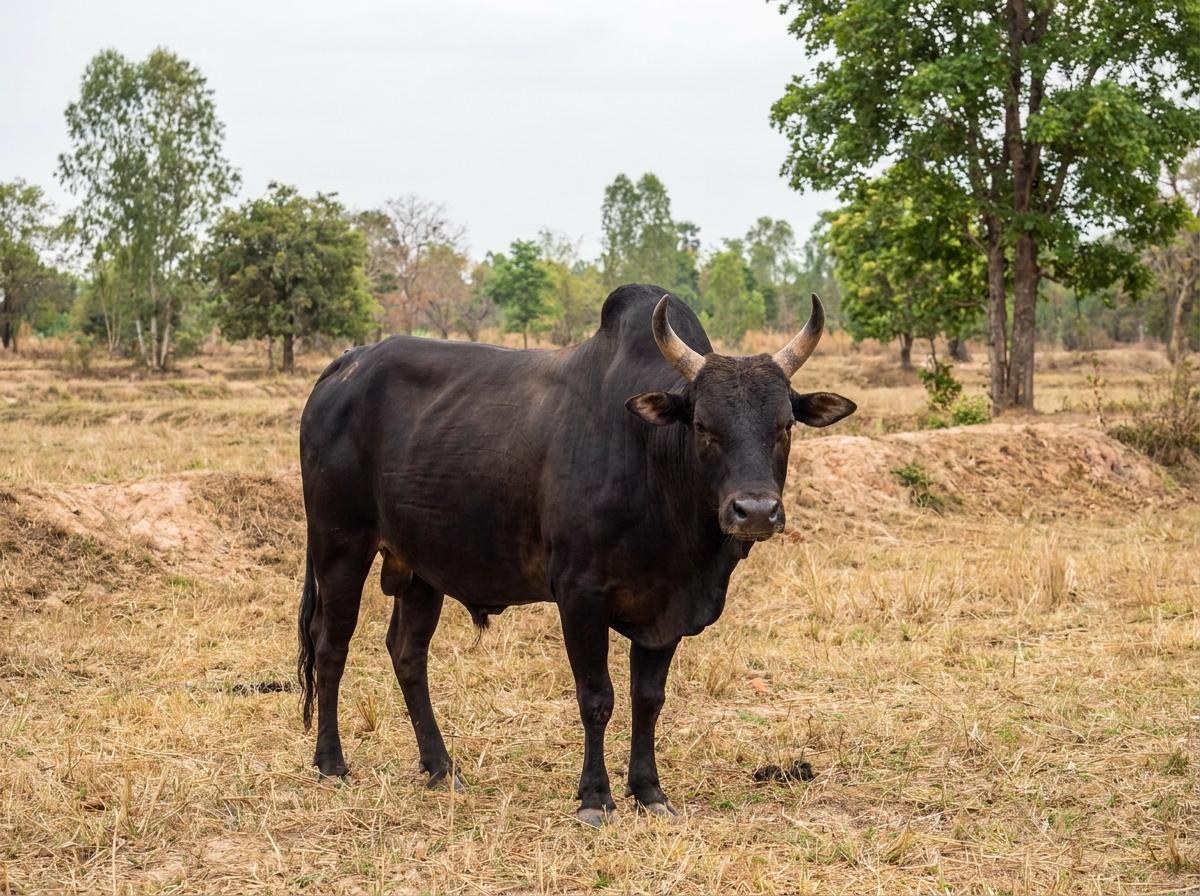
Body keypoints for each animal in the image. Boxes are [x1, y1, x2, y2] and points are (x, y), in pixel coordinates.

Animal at [296, 284, 856, 825]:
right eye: (701, 425)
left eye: (785, 425)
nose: (755, 511)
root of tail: (347, 364)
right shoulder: (580, 596)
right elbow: (596, 697)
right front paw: (595, 798)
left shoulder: (665, 614)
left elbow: (648, 700)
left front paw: (649, 792)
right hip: (339, 546)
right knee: (331, 644)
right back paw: (331, 763)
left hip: (420, 570)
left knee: (408, 653)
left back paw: (440, 767)